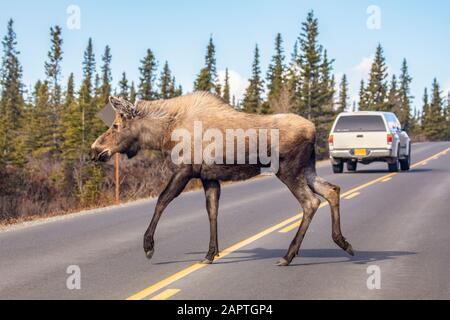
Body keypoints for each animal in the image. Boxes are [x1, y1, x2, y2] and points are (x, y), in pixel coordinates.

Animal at [90, 92, 352, 264]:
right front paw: (210, 254)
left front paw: (148, 246)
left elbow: (162, 201)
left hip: (288, 170)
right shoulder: (209, 177)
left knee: (311, 202)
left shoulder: (185, 170)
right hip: (307, 169)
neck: (164, 133)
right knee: (332, 190)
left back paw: (288, 255)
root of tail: (314, 130)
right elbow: (212, 212)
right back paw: (343, 242)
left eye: (116, 125)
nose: (95, 150)